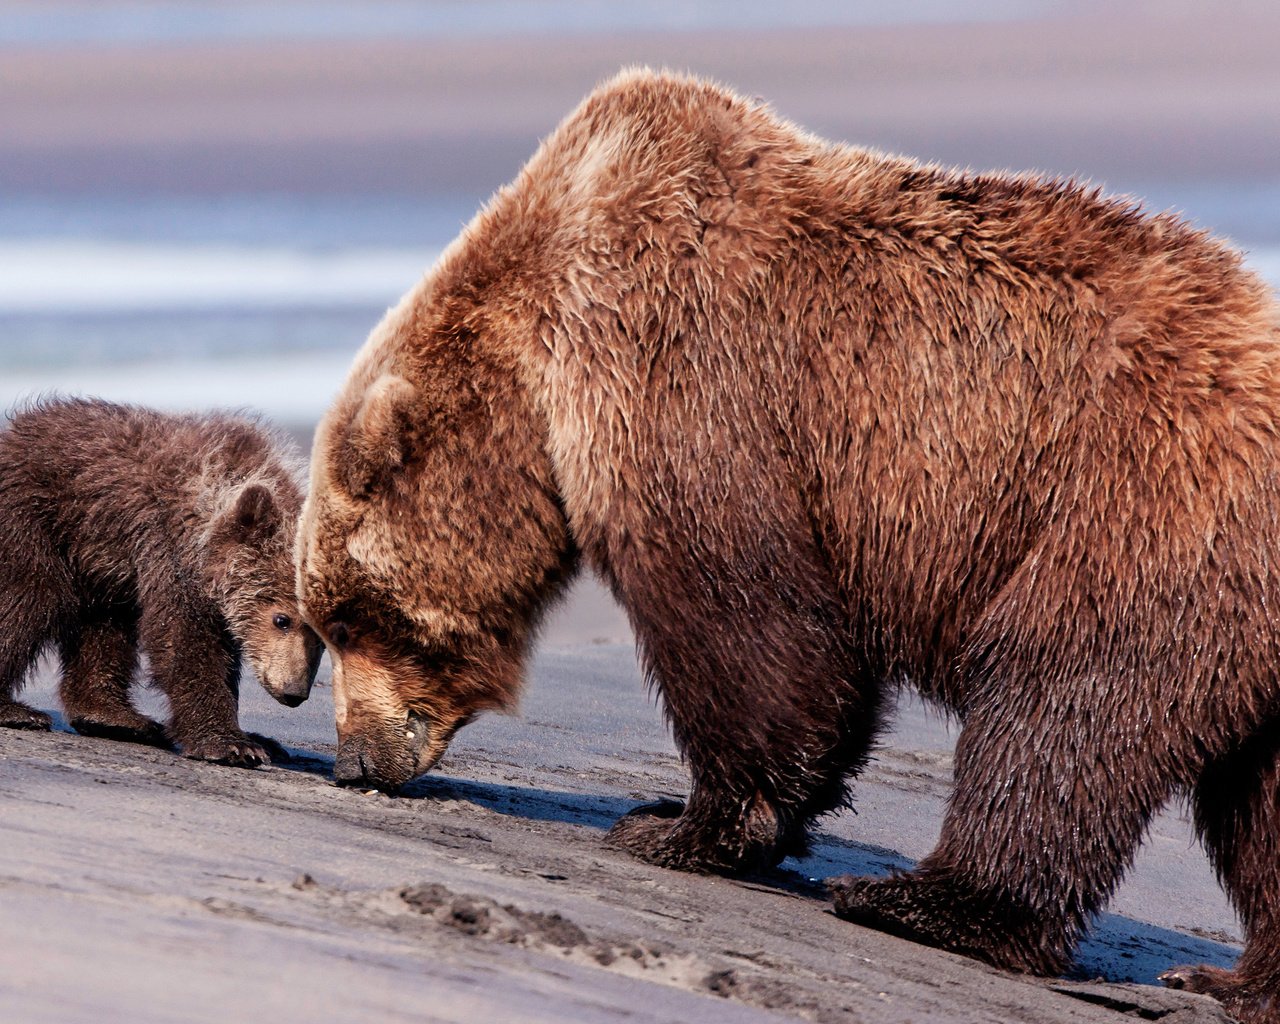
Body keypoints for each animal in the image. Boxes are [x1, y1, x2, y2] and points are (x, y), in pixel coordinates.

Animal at [299, 70, 1280, 1013]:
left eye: (348, 619)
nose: (355, 761)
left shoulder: (680, 366)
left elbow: (751, 625)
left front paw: (679, 825)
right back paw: (1227, 979)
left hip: (1135, 507)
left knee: (1059, 700)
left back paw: (925, 902)